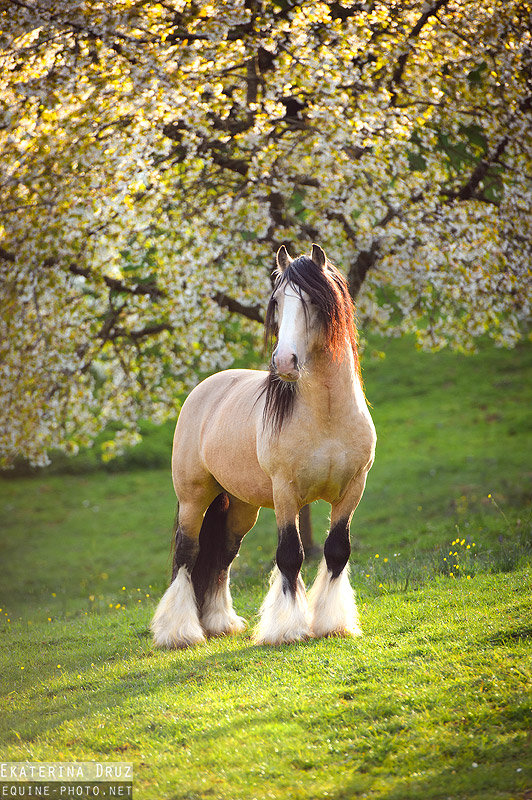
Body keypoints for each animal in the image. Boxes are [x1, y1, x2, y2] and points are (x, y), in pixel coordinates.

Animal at [150, 241, 374, 648]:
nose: (284, 361)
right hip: (194, 497)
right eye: (277, 302)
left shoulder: (353, 490)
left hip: (241, 506)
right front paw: (286, 628)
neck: (327, 417)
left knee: (224, 554)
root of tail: (204, 389)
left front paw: (332, 623)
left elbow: (337, 551)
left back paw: (220, 622)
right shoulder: (286, 493)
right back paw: (180, 632)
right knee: (187, 553)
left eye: (313, 300)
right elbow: (289, 556)